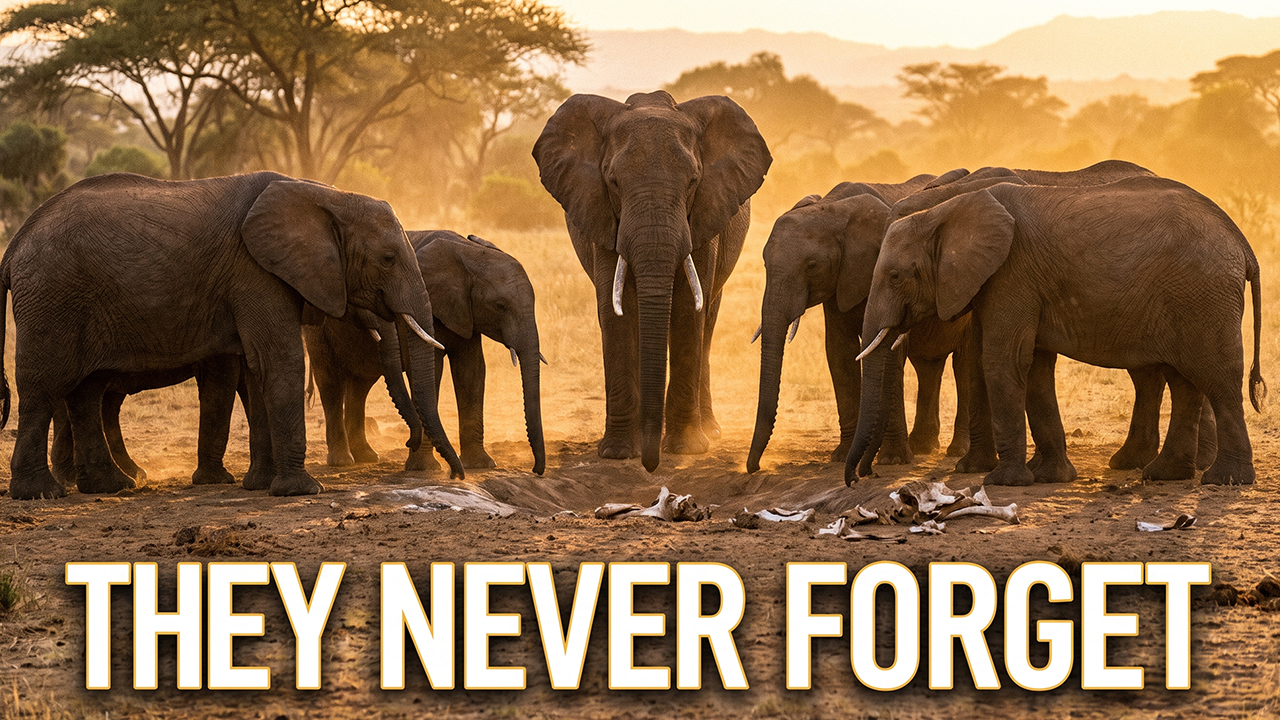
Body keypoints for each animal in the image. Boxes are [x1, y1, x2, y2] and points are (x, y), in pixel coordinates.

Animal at [0, 171, 464, 500]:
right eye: (387, 258)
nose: (457, 475)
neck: (326, 195)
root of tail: (16, 242)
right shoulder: (255, 272)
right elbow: (278, 361)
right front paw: (301, 490)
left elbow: (256, 371)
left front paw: (258, 485)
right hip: (52, 298)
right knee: (44, 386)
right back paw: (40, 494)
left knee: (85, 391)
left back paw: (113, 487)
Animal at [304, 230, 545, 475]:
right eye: (499, 306)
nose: (536, 470)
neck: (468, 252)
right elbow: (432, 371)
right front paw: (425, 469)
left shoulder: (465, 312)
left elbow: (472, 370)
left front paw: (481, 465)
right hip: (317, 331)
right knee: (330, 384)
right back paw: (342, 461)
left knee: (360, 386)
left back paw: (367, 456)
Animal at [533, 90, 772, 471]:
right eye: (613, 182)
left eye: (693, 181)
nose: (650, 465)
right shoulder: (603, 217)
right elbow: (616, 313)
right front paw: (617, 452)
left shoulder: (704, 216)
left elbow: (689, 310)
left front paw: (687, 448)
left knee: (707, 322)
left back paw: (707, 431)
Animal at [746, 173, 977, 474]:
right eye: (764, 263)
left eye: (811, 266)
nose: (754, 467)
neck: (834, 208)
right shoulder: (839, 283)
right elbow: (839, 353)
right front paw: (842, 455)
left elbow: (884, 354)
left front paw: (892, 460)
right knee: (928, 367)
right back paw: (922, 447)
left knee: (964, 364)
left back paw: (957, 450)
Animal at [848, 175, 1264, 487]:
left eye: (895, 276)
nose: (860, 477)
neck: (943, 211)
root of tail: (1242, 244)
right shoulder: (1015, 283)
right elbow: (1034, 366)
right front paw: (1049, 476)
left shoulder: (1012, 275)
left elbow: (1003, 360)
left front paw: (1004, 481)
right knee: (1184, 382)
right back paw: (1164, 475)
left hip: (1203, 296)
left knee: (1218, 378)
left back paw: (1225, 480)